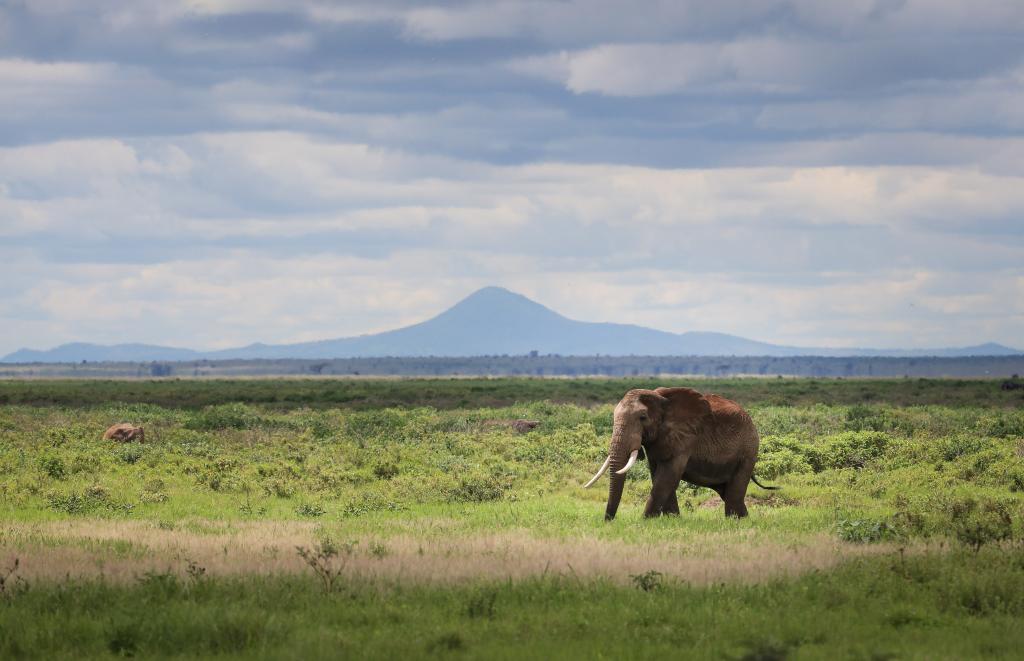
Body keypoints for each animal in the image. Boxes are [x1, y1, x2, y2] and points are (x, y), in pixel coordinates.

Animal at [583, 387, 775, 520]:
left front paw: (645, 521)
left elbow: (668, 475)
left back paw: (734, 521)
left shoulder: (685, 438)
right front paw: (672, 519)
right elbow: (658, 475)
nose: (609, 521)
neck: (660, 399)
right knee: (728, 493)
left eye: (642, 418)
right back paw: (744, 520)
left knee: (734, 493)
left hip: (748, 451)